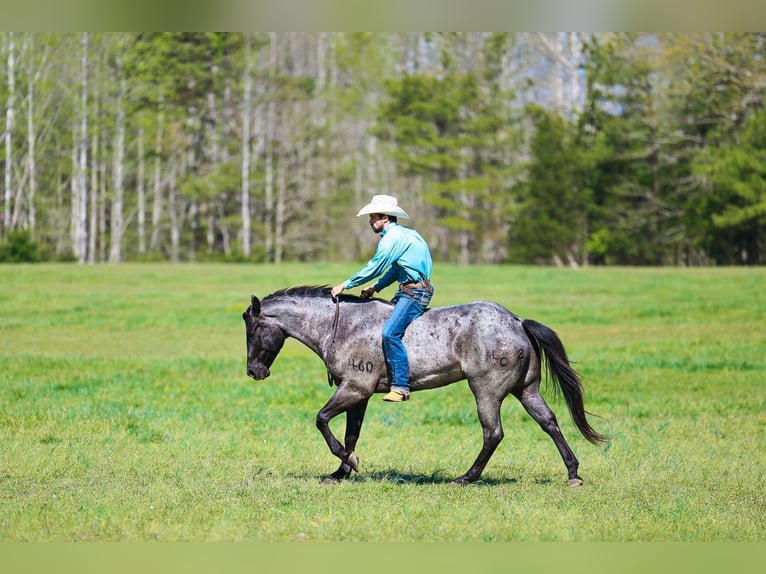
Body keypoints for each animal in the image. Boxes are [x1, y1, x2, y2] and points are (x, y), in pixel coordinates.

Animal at [242, 286, 607, 486]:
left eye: (253, 329)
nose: (253, 371)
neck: (343, 325)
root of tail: (516, 321)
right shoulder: (359, 395)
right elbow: (350, 435)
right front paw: (341, 471)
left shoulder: (355, 389)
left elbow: (321, 420)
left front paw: (350, 465)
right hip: (526, 390)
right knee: (549, 423)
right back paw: (573, 473)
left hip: (486, 391)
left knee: (493, 433)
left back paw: (465, 478)